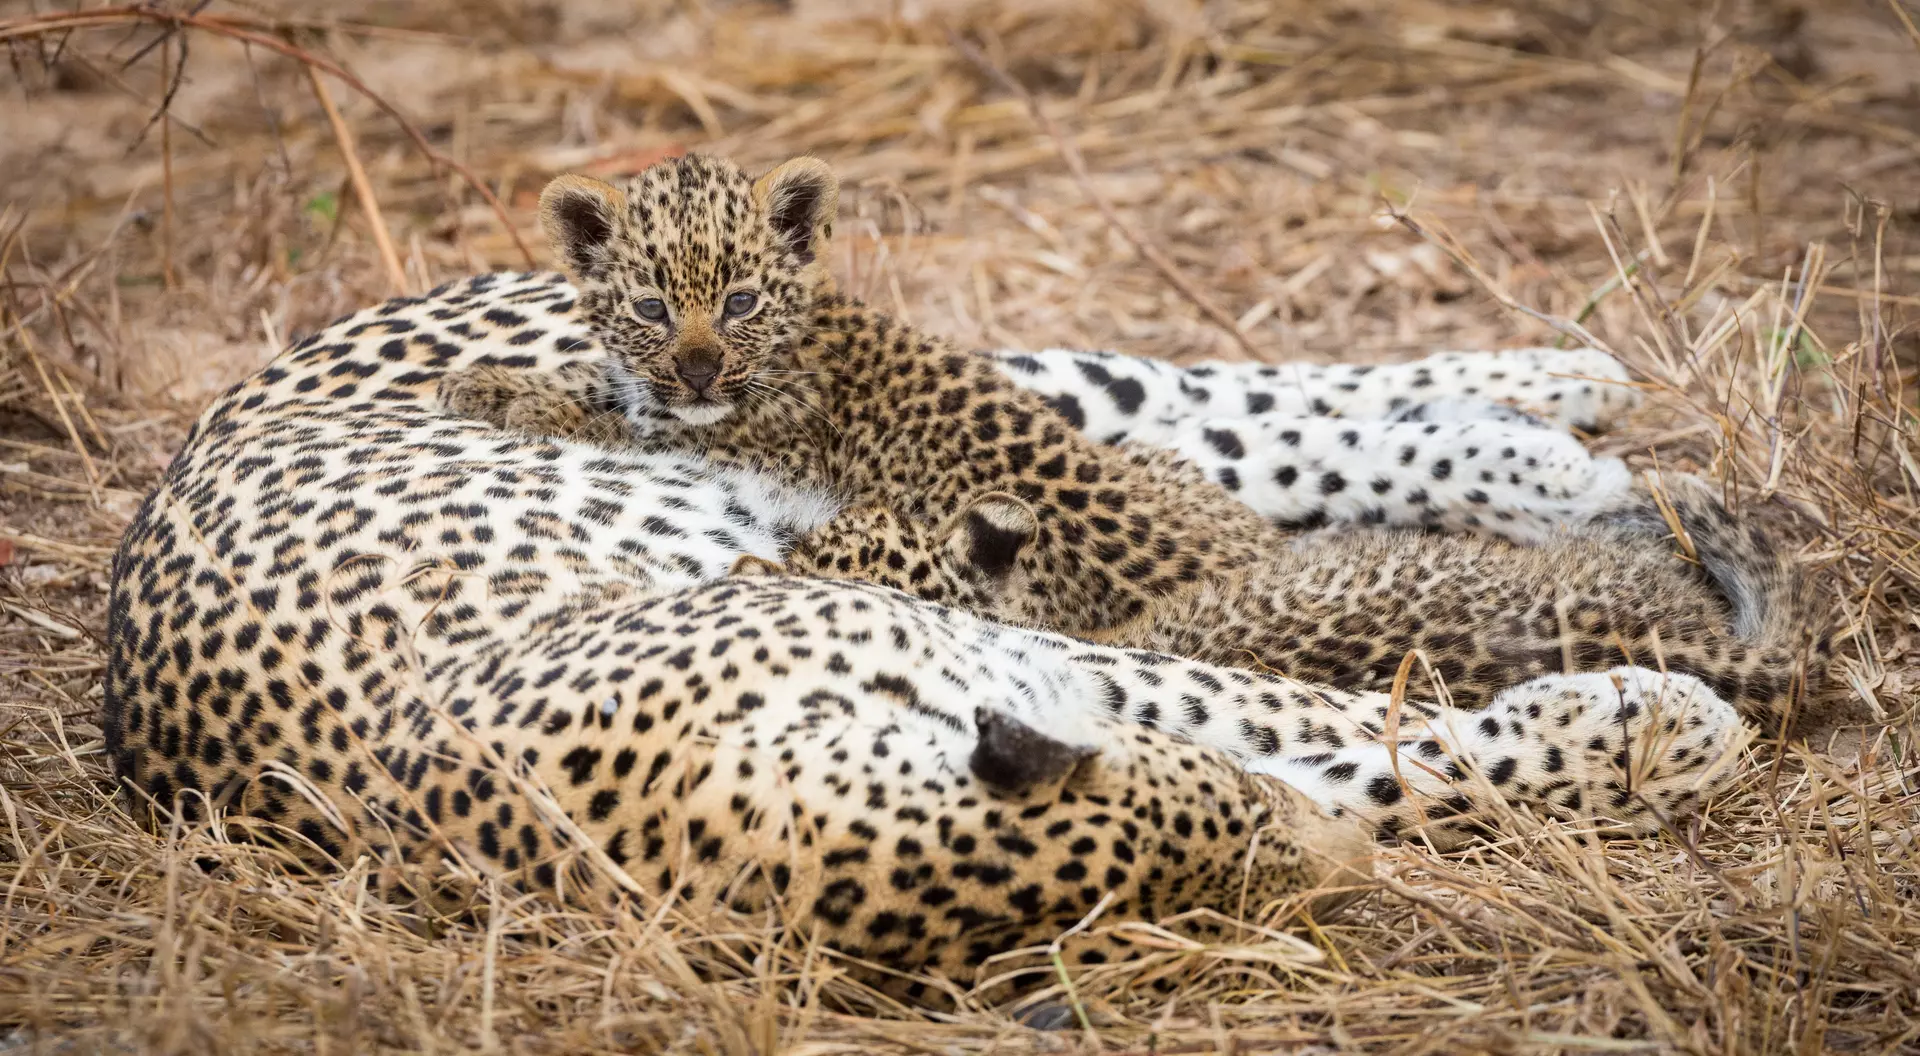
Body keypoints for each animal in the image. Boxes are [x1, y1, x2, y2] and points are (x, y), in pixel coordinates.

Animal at [439, 153, 1828, 734]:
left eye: (732, 299)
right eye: (648, 297)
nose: (695, 359)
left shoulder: (754, 425)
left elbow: (610, 409)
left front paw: (495, 389)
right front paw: (510, 381)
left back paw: (1567, 440)